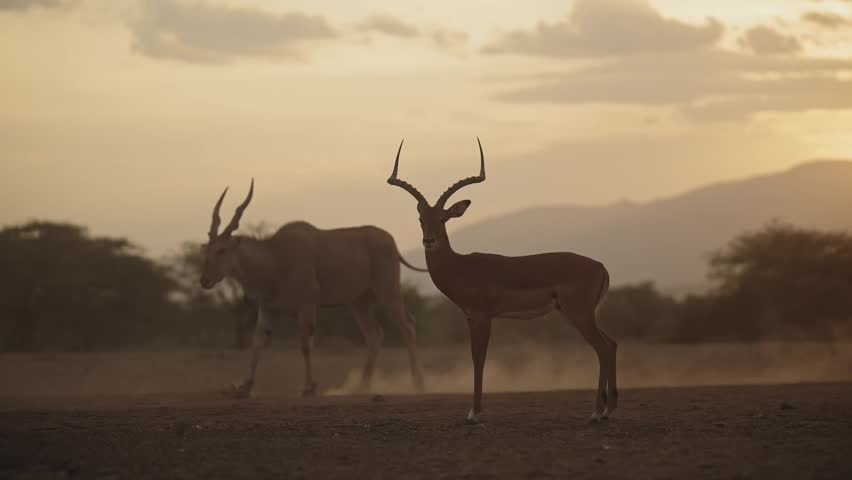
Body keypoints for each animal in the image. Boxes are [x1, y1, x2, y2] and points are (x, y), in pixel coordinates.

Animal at [201, 179, 426, 398]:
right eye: (207, 249)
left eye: (222, 250)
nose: (204, 280)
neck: (275, 257)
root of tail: (392, 243)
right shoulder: (267, 309)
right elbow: (257, 343)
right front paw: (244, 387)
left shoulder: (307, 305)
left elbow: (305, 345)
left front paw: (309, 387)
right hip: (359, 302)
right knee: (374, 334)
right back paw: (362, 386)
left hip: (388, 292)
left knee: (407, 326)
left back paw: (417, 383)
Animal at [387, 139, 617, 423]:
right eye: (422, 219)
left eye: (443, 218)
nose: (429, 240)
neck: (461, 267)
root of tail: (601, 266)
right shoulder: (471, 317)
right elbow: (474, 357)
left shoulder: (484, 316)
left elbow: (480, 359)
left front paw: (475, 413)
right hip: (582, 314)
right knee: (612, 343)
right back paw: (608, 409)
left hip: (579, 314)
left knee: (603, 348)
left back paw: (596, 413)